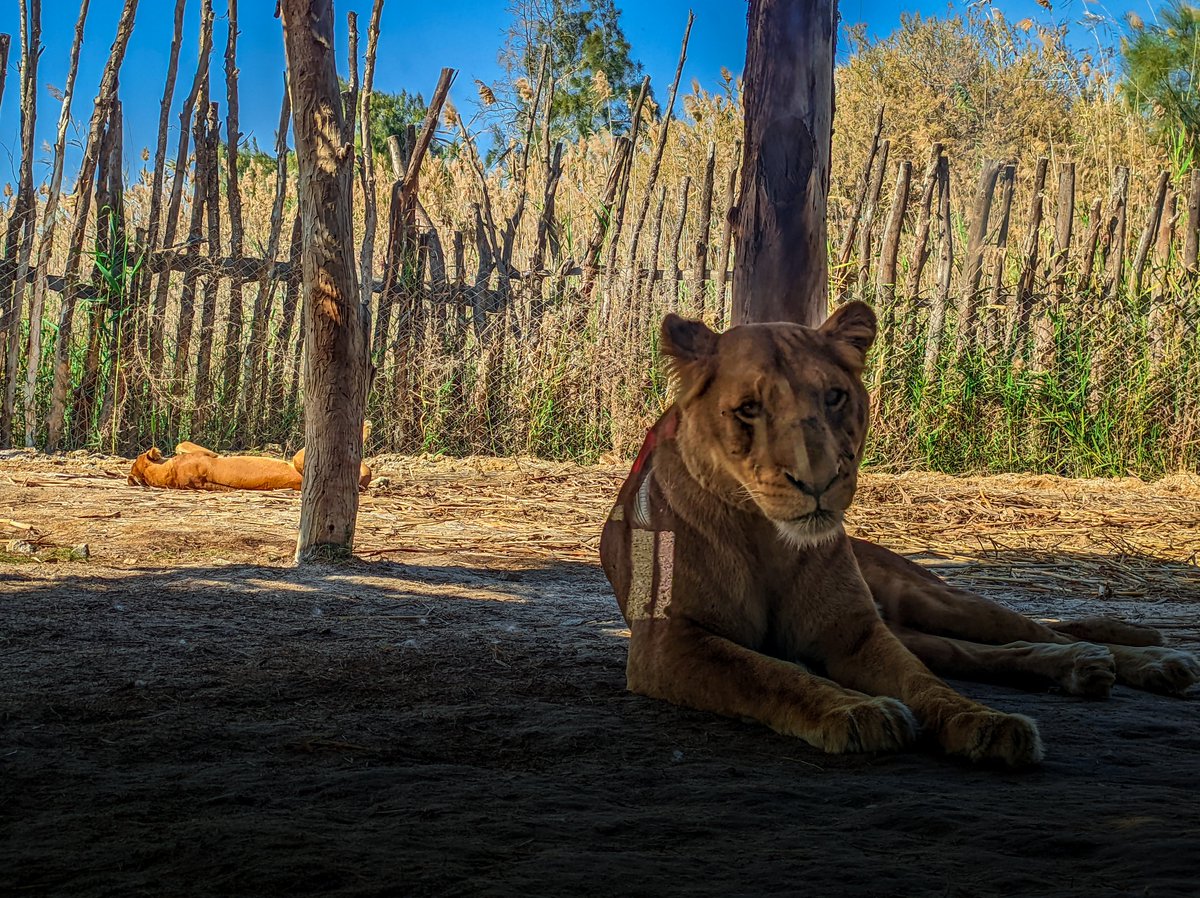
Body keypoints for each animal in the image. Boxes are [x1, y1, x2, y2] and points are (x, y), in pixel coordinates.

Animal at [599, 302, 1199, 766]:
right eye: (749, 409)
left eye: (834, 397)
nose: (818, 480)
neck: (768, 539)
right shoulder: (669, 642)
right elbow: (770, 672)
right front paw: (857, 710)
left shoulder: (855, 631)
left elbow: (925, 684)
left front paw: (982, 720)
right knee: (983, 652)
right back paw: (1079, 669)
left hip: (928, 599)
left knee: (1028, 632)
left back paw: (1145, 663)